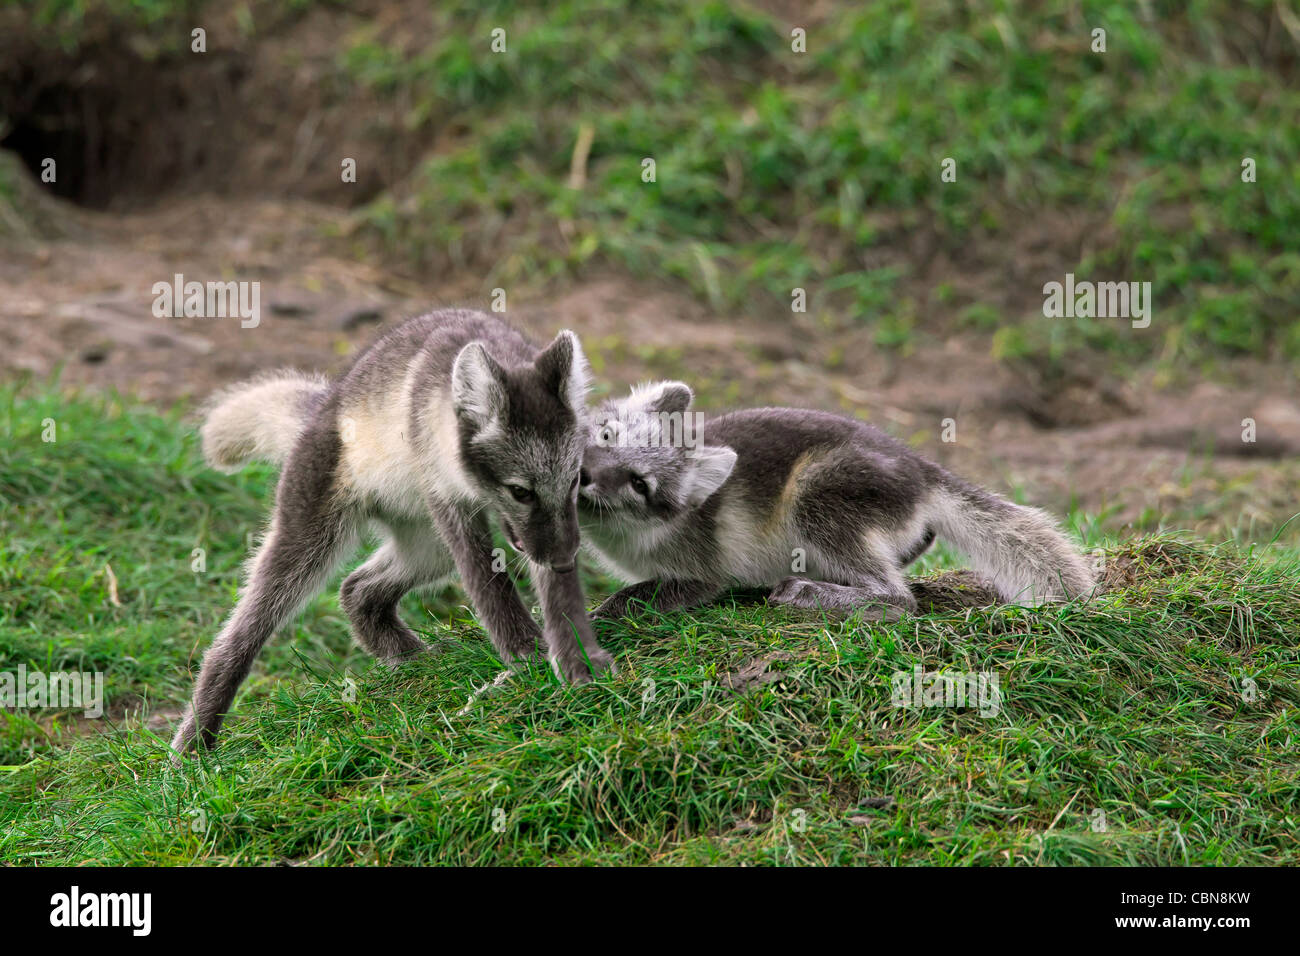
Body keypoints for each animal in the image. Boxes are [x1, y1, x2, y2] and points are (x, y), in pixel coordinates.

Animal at [170, 308, 611, 754]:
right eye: (520, 491)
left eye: (575, 480)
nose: (563, 561)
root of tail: (326, 402)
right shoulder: (448, 503)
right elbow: (491, 588)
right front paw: (527, 656)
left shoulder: (542, 533)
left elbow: (557, 597)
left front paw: (577, 661)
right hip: (311, 540)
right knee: (235, 639)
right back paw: (193, 748)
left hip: (430, 548)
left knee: (356, 589)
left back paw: (417, 660)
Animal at [574, 382, 1092, 621]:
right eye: (606, 435)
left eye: (640, 484)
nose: (583, 476)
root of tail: (923, 469)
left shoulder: (700, 572)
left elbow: (643, 595)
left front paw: (597, 618)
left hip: (816, 493)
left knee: (900, 599)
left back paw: (810, 592)